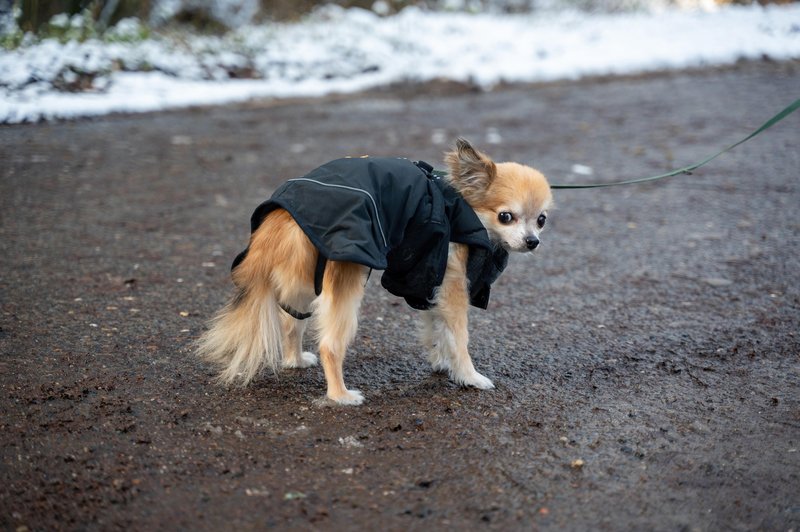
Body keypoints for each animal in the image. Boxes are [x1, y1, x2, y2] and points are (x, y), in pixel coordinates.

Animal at [197, 139, 552, 406]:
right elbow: (458, 337)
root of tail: (281, 221)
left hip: (303, 285)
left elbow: (435, 329)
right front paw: (468, 376)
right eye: (506, 216)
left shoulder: (431, 285)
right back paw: (340, 396)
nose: (533, 242)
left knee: (290, 323)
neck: (461, 205)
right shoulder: (453, 288)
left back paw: (295, 360)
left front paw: (440, 363)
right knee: (330, 345)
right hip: (346, 283)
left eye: (541, 220)